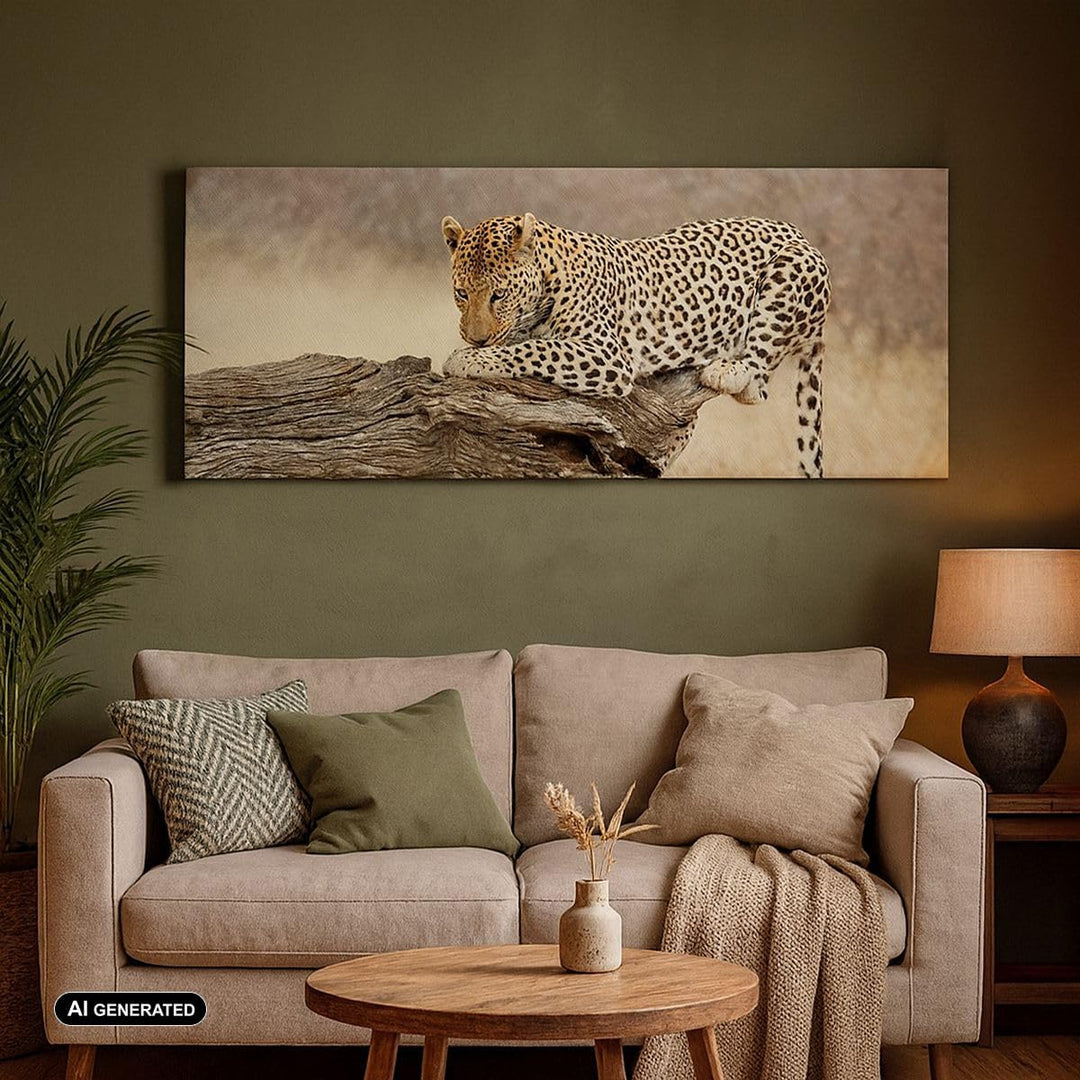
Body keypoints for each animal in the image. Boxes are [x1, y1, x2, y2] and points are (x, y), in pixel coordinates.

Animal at [440, 212, 830, 478]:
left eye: (499, 295)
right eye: (461, 293)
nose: (475, 338)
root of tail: (799, 232)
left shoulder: (608, 356)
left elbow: (537, 350)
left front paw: (468, 358)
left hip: (792, 269)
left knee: (757, 376)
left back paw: (727, 369)